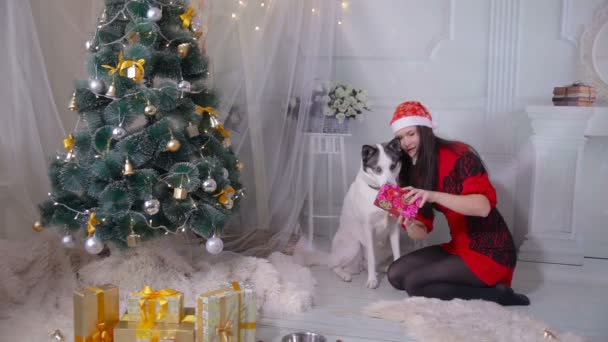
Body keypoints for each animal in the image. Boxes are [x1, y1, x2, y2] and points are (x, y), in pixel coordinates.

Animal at [294, 136, 410, 288]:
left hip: (383, 249)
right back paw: (345, 275)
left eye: (393, 166)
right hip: (354, 246)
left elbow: (397, 255)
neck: (377, 194)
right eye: (377, 169)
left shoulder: (394, 228)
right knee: (334, 266)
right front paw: (372, 280)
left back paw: (383, 268)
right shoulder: (368, 229)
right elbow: (371, 258)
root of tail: (332, 255)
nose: (390, 186)